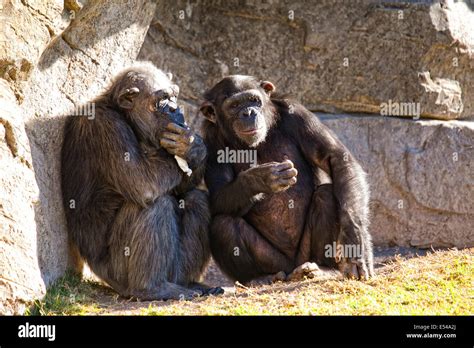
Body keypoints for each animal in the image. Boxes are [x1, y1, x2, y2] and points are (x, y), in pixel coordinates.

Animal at [61, 61, 224, 300]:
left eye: (174, 96)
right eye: (163, 99)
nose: (176, 109)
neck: (127, 119)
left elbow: (178, 187)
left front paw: (193, 146)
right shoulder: (106, 127)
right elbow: (142, 182)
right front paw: (190, 143)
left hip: (174, 271)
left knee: (197, 199)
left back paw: (191, 284)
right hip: (117, 274)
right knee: (156, 204)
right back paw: (152, 288)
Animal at [199, 75, 374, 284]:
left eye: (253, 100)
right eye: (234, 106)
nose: (248, 112)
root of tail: (291, 269)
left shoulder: (298, 114)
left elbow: (337, 159)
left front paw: (355, 244)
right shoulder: (209, 138)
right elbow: (217, 195)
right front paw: (261, 178)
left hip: (304, 254)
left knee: (326, 195)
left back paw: (324, 268)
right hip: (275, 261)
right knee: (222, 224)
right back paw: (258, 278)